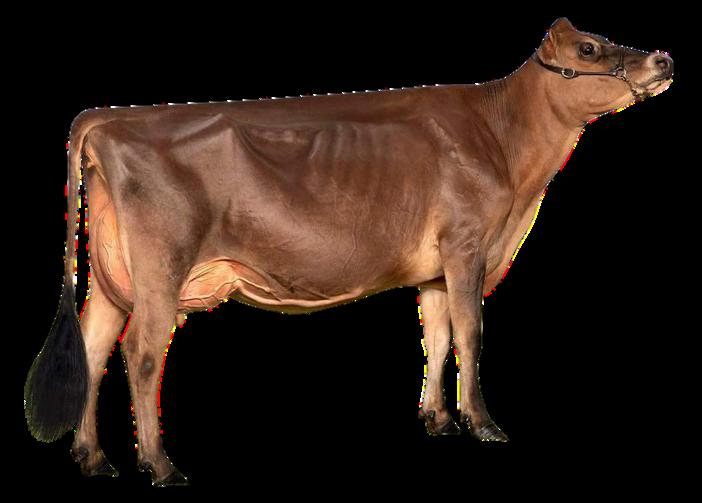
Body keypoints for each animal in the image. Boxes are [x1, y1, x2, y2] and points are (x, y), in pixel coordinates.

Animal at [24, 18, 673, 486]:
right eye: (589, 48)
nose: (662, 59)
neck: (506, 147)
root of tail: (108, 118)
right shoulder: (467, 245)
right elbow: (471, 332)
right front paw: (483, 424)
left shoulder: (436, 267)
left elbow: (437, 333)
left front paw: (437, 419)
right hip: (162, 269)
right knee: (141, 352)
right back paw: (160, 467)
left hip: (112, 276)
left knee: (93, 346)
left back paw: (93, 458)